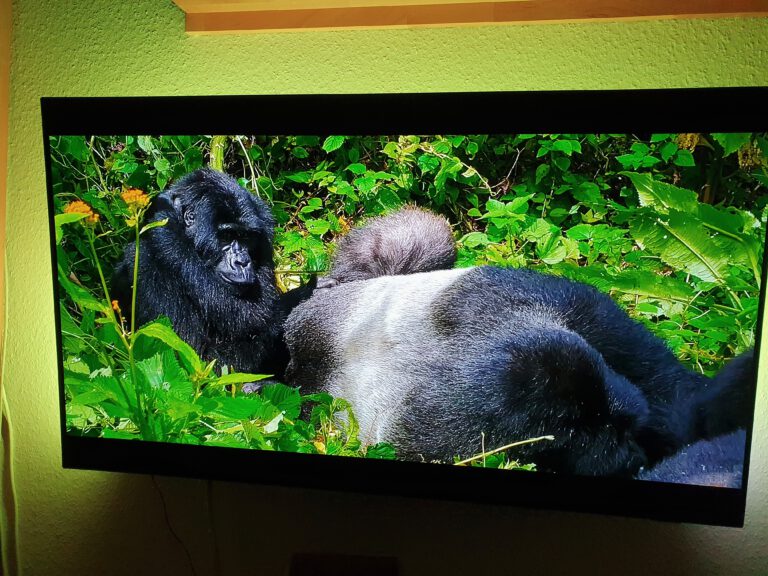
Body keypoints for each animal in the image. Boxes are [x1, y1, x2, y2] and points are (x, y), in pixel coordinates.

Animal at [112, 166, 310, 378]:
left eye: (246, 237)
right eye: (227, 236)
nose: (242, 262)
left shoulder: (264, 233)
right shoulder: (145, 265)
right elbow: (200, 358)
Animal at [284, 207, 756, 476]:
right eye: (572, 437)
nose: (632, 457)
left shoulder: (561, 301)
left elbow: (672, 388)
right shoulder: (448, 434)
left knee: (418, 238)